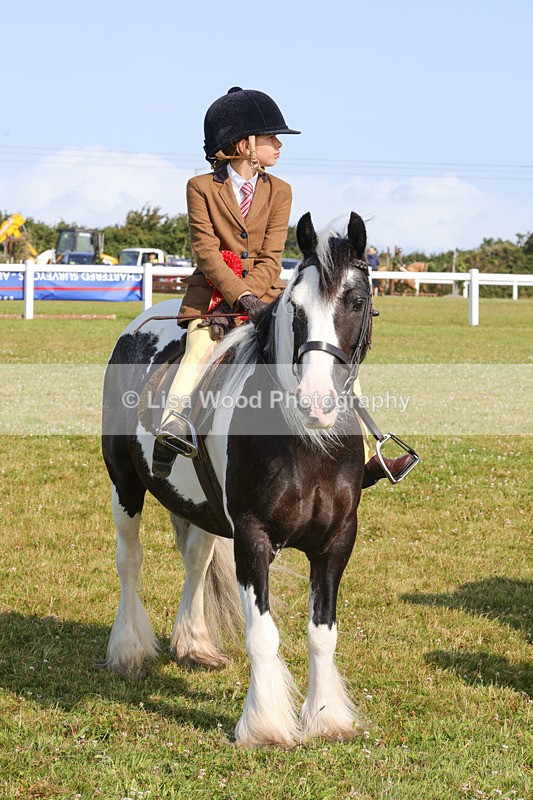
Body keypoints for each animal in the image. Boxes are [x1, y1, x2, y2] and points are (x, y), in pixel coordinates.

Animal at [102, 211, 375, 747]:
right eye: (295, 307)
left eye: (356, 301)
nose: (316, 403)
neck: (306, 443)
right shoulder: (252, 537)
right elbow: (263, 635)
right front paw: (265, 723)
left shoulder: (337, 541)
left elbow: (322, 634)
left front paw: (326, 717)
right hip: (125, 486)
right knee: (130, 562)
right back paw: (128, 651)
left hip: (204, 509)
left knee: (195, 562)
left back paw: (193, 645)